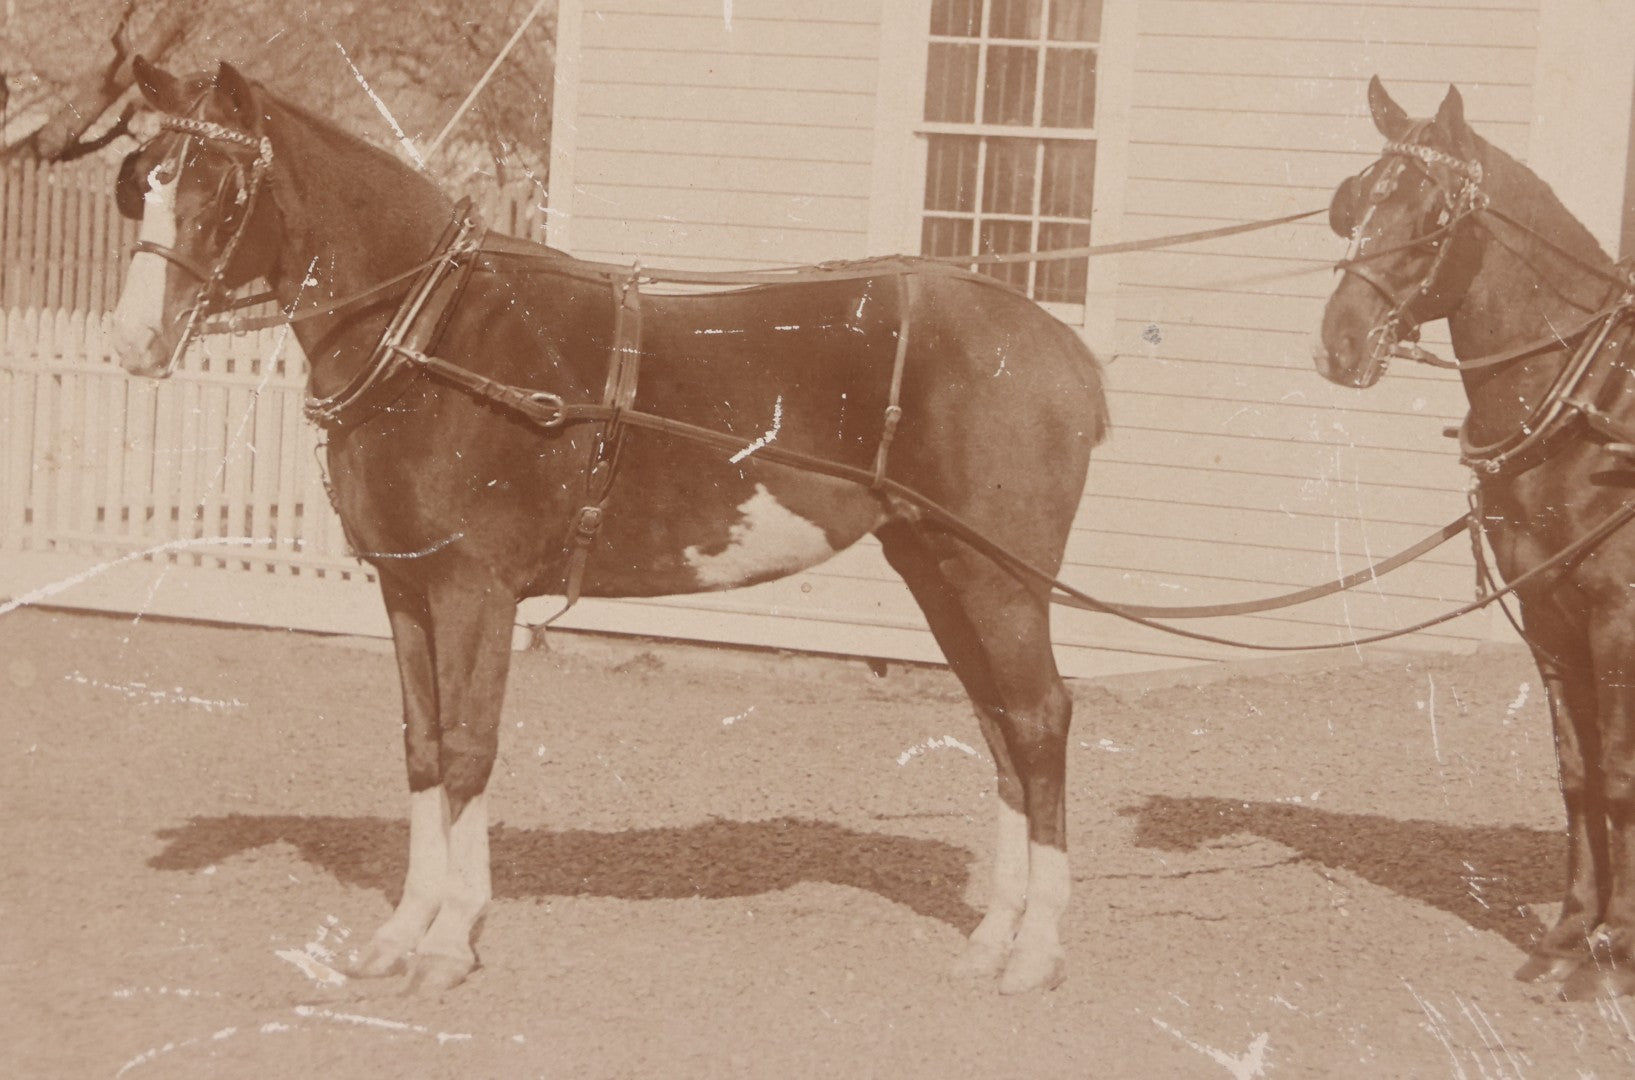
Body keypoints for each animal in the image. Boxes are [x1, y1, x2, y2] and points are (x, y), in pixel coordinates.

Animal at [108, 58, 1109, 996]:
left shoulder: (475, 591)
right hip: (936, 566)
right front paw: (400, 933)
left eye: (218, 190)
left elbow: (468, 749)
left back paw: (1036, 950)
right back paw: (992, 942)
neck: (436, 338)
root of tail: (1058, 345)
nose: (130, 342)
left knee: (1039, 719)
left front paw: (448, 941)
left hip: (999, 579)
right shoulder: (406, 585)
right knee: (999, 726)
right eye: (145, 179)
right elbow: (423, 748)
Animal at [1315, 76, 1635, 1000]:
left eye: (1430, 214)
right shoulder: (1549, 612)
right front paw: (1568, 935)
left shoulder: (1616, 617)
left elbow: (1619, 773)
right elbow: (1576, 773)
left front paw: (1615, 956)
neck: (1592, 407)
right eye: (1354, 201)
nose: (1337, 342)